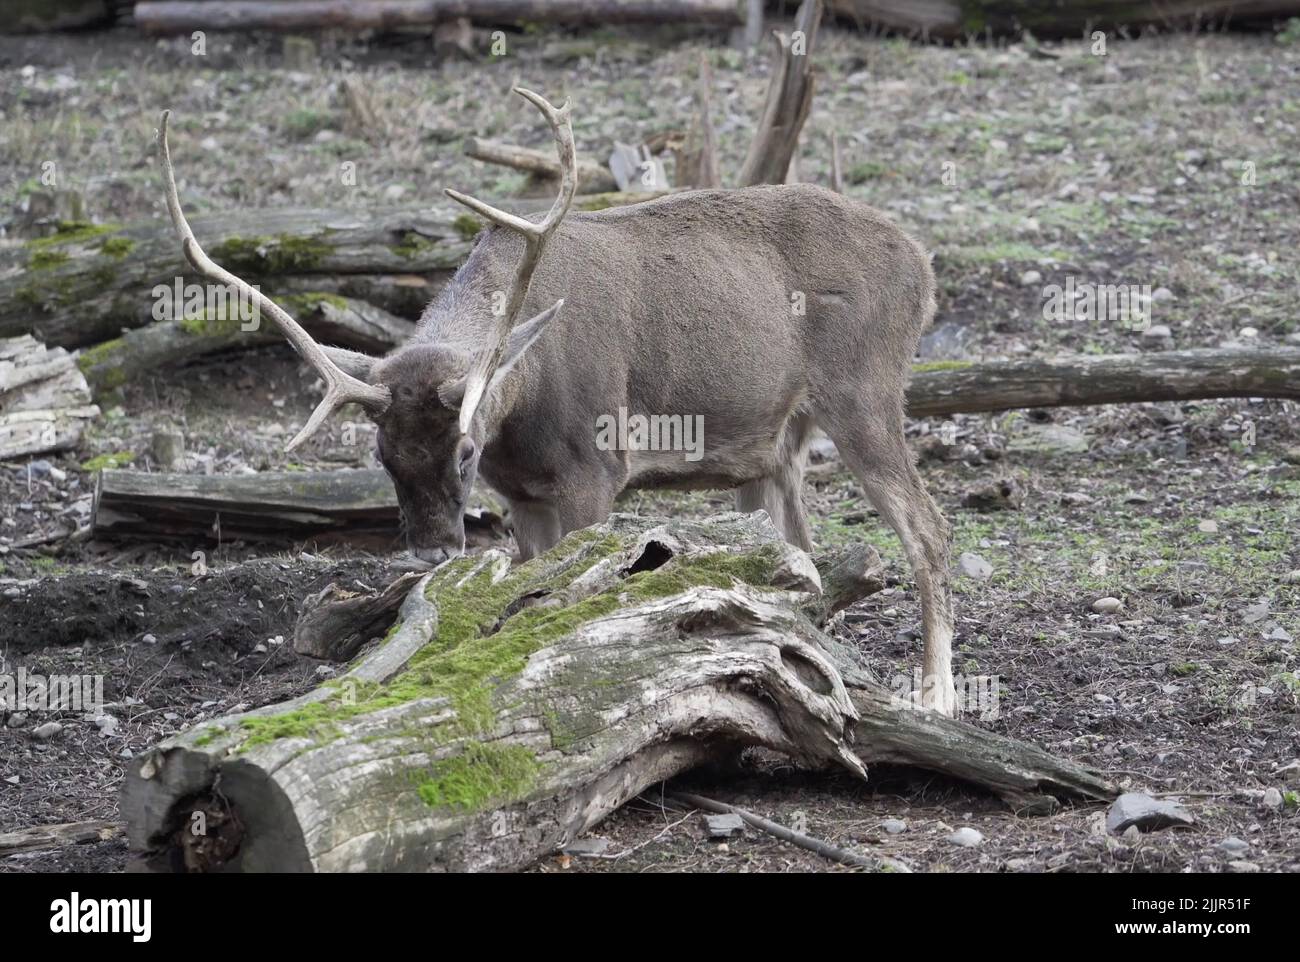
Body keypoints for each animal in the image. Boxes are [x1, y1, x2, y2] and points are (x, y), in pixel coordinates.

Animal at [156, 89, 957, 715]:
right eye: (381, 455)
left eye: (465, 449)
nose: (431, 549)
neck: (524, 407)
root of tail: (924, 268)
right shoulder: (524, 495)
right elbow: (528, 589)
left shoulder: (595, 470)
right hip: (777, 439)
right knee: (803, 550)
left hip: (865, 387)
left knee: (929, 529)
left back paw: (938, 694)